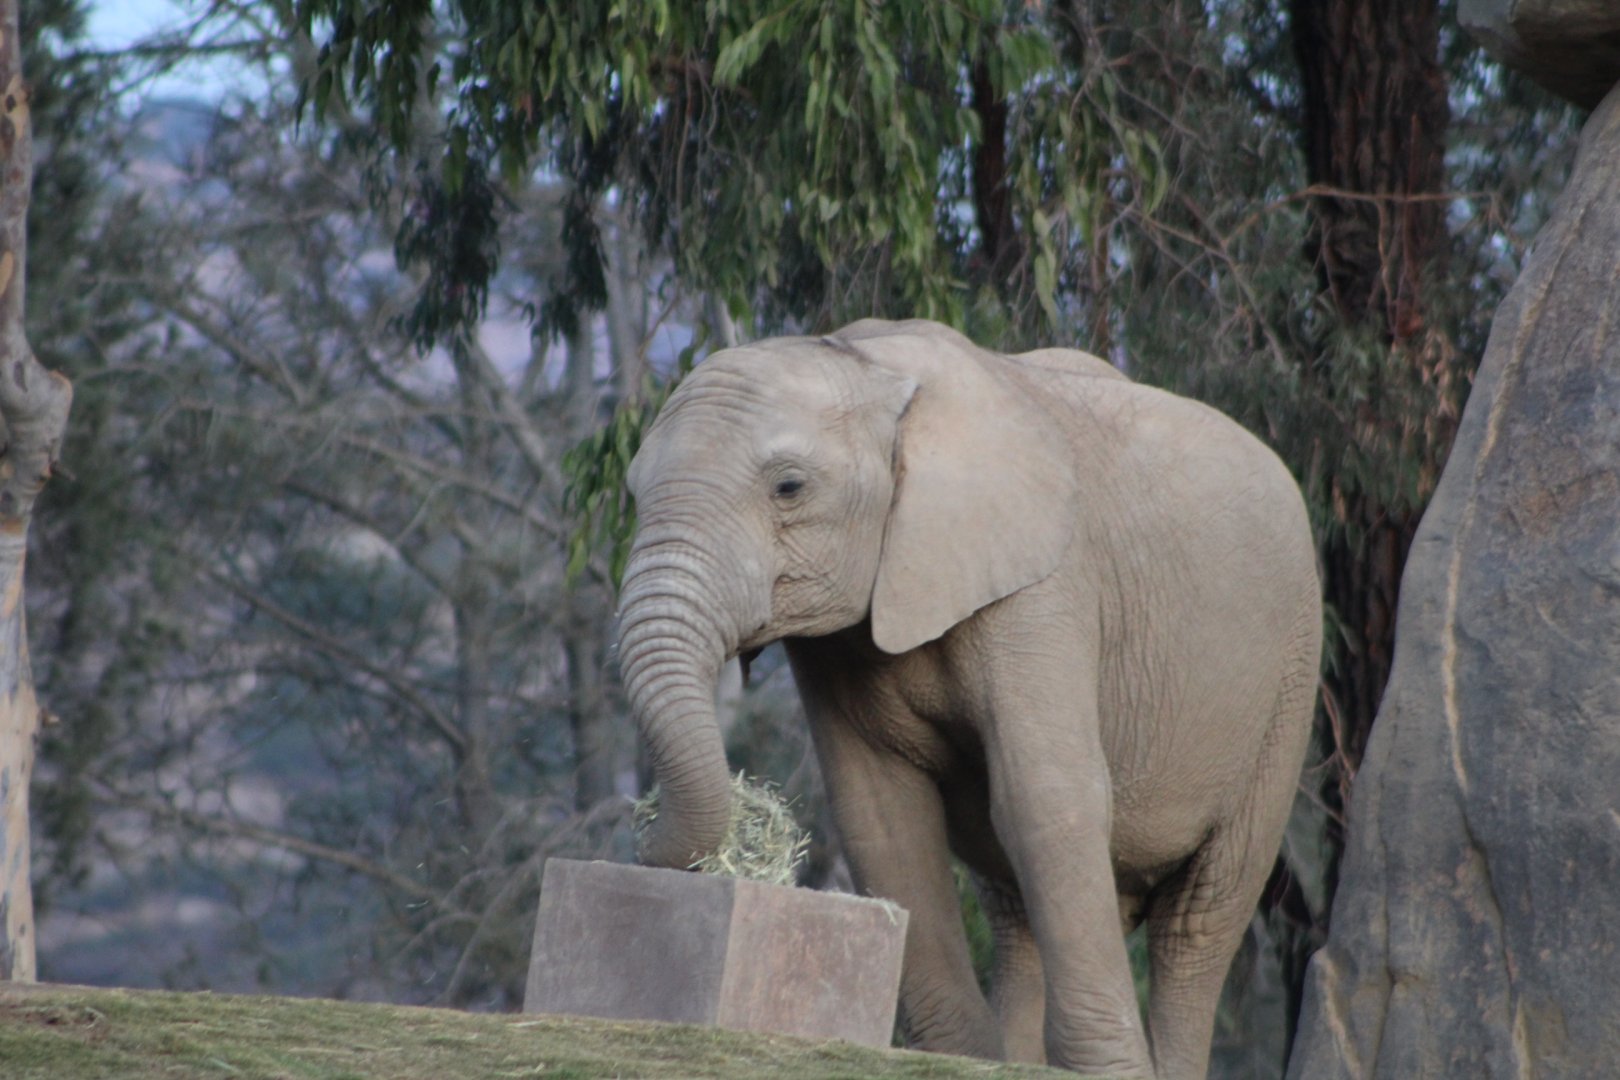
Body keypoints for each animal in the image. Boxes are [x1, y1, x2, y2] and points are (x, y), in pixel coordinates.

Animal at [616, 318, 1320, 1079]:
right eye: (632, 494)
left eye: (789, 488)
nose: (643, 834)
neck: (867, 359)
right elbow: (884, 819)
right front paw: (964, 1058)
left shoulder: (1044, 584)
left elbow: (1048, 799)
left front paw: (1108, 1072)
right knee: (1016, 905)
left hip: (1289, 680)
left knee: (1201, 918)